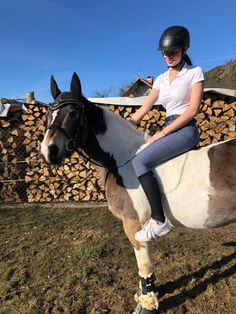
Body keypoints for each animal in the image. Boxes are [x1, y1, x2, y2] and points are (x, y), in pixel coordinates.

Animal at [40, 72, 236, 312]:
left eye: (73, 113)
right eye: (49, 114)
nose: (48, 152)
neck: (122, 158)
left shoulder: (133, 226)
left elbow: (144, 265)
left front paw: (147, 302)